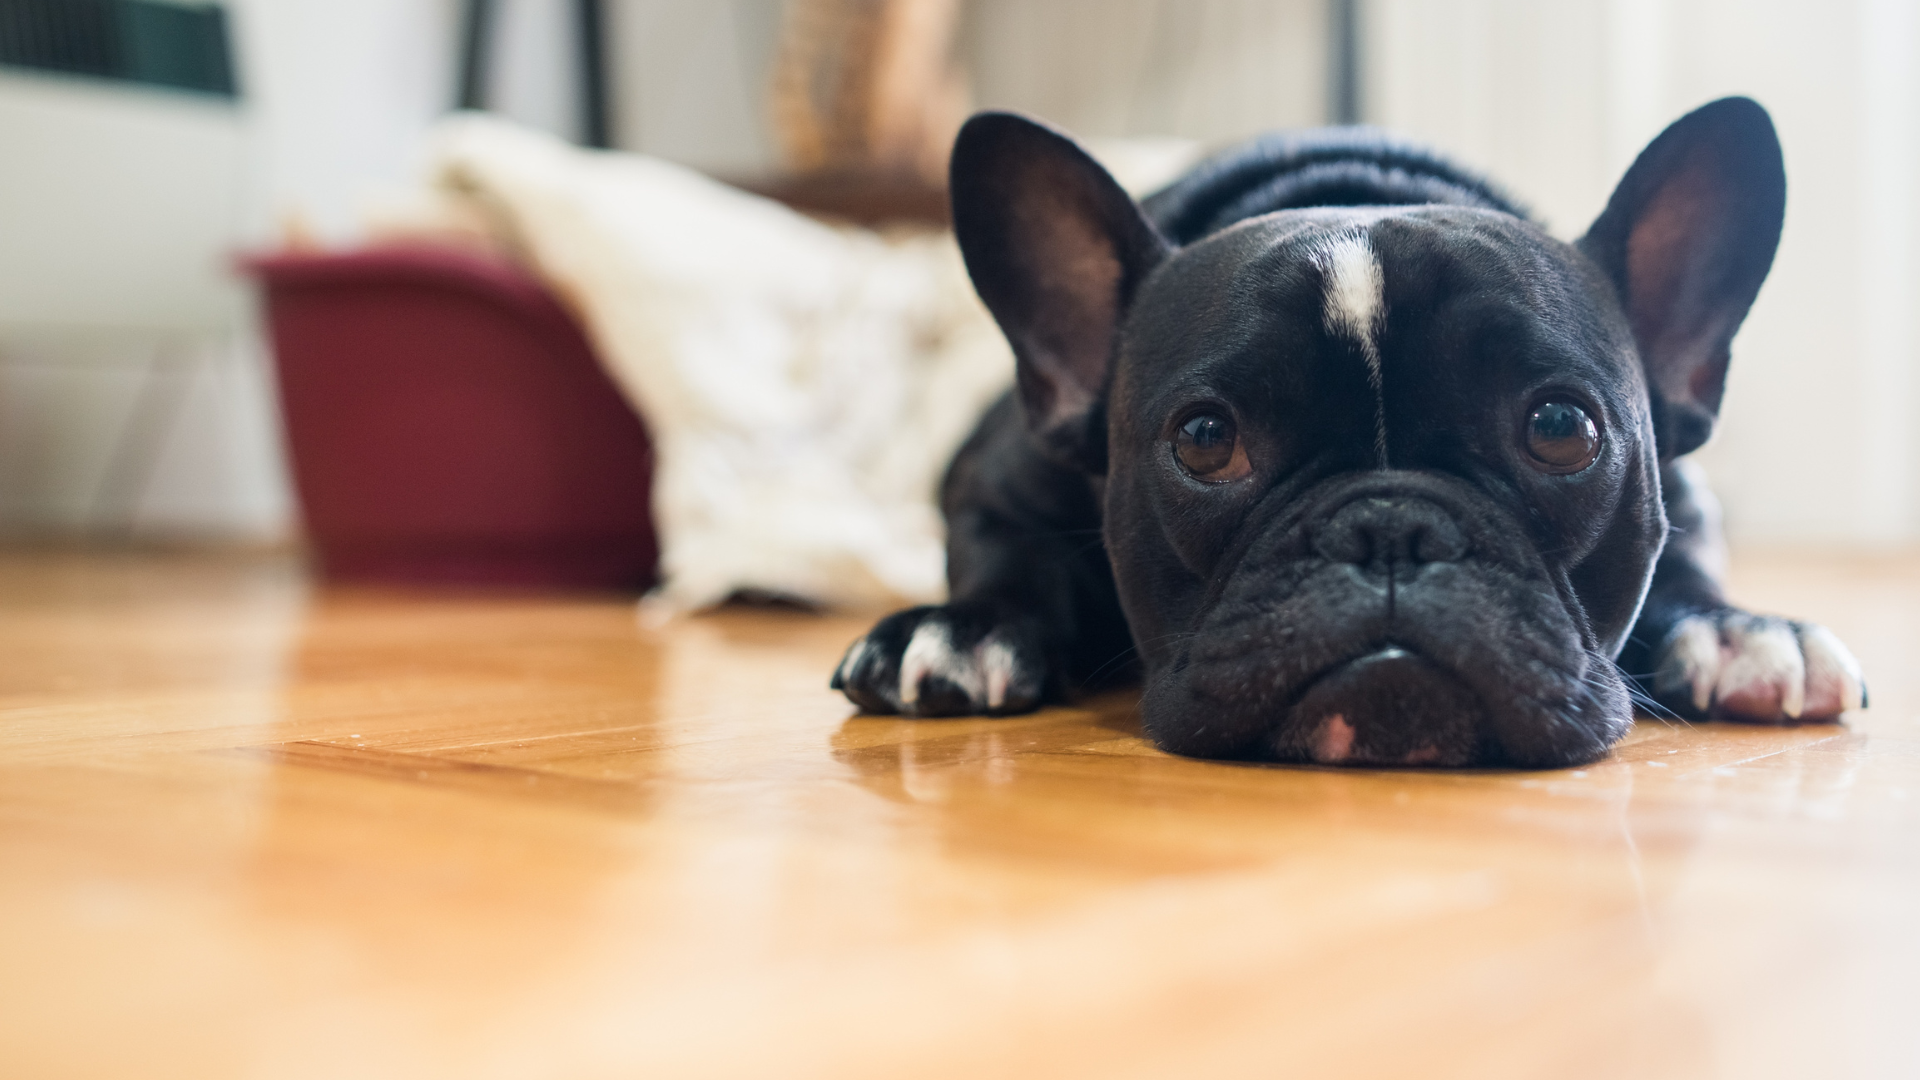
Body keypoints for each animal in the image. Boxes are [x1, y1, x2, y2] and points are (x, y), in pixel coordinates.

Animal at [829, 94, 1858, 764]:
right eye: (1206, 441)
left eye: (1562, 428)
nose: (1390, 528)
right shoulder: (993, 484)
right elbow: (1008, 557)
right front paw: (964, 628)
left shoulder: (1687, 494)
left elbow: (1686, 566)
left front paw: (1738, 631)